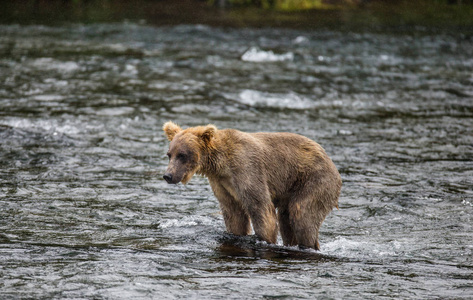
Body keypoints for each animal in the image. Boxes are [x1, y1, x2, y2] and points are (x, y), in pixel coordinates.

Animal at [162, 120, 340, 250]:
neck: (221, 164)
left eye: (182, 155)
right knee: (286, 219)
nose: (168, 175)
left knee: (302, 214)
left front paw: (266, 240)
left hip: (313, 180)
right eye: (169, 154)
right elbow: (234, 214)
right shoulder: (221, 183)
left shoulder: (247, 169)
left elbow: (261, 207)